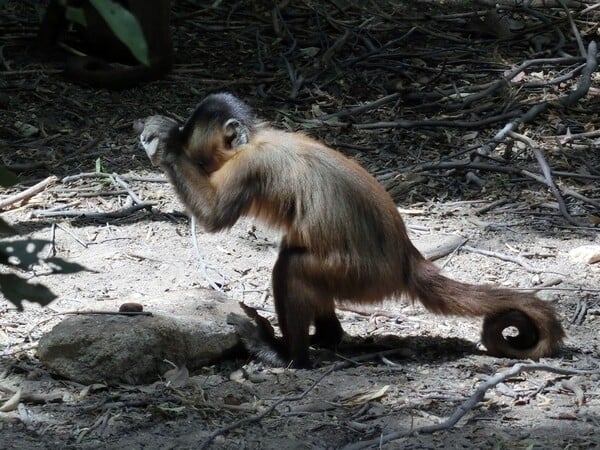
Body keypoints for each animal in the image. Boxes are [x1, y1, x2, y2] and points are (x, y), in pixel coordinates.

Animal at [135, 93, 564, 368]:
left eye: (193, 147)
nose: (187, 153)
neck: (254, 140)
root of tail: (408, 260)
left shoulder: (250, 166)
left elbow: (213, 218)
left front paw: (164, 142)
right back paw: (325, 338)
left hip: (362, 278)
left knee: (292, 265)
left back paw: (290, 357)